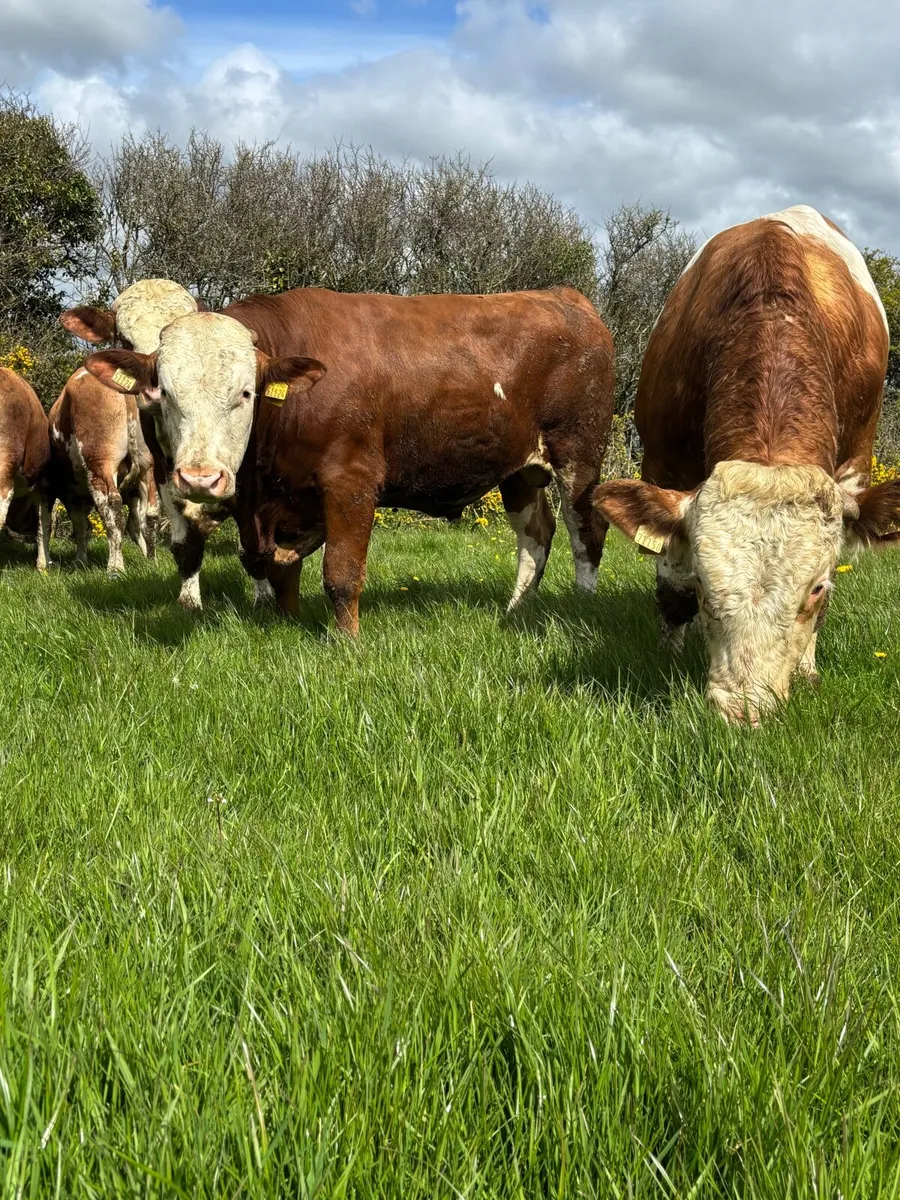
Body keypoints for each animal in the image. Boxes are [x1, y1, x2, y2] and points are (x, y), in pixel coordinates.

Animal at [82, 285, 615, 633]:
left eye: (245, 393)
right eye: (165, 391)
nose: (200, 478)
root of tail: (564, 295)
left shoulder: (351, 483)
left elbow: (340, 573)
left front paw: (346, 642)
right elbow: (276, 567)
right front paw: (286, 623)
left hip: (579, 456)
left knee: (584, 530)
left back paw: (581, 606)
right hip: (521, 471)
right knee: (535, 536)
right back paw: (515, 610)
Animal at [594, 204, 900, 724]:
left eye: (816, 588)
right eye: (704, 583)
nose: (743, 709)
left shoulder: (855, 464)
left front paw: (807, 670)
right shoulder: (662, 462)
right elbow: (671, 588)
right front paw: (667, 653)